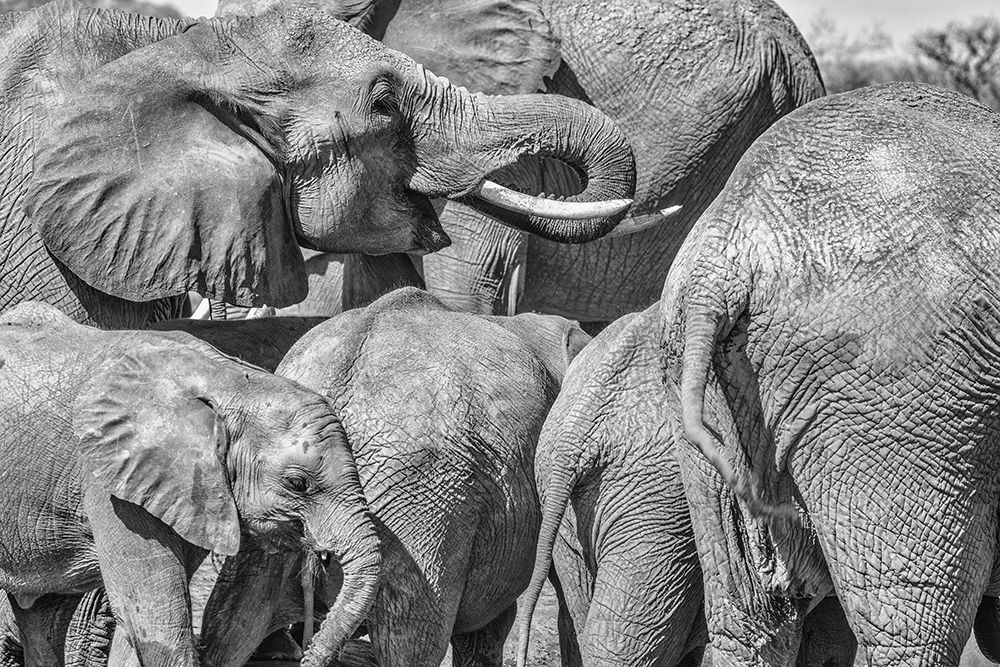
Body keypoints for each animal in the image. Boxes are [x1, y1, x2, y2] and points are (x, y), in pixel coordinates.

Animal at [0, 301, 380, 666]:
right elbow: (156, 622)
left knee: (42, 619)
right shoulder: (109, 482)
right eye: (298, 483)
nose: (306, 654)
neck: (230, 380)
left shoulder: (196, 492)